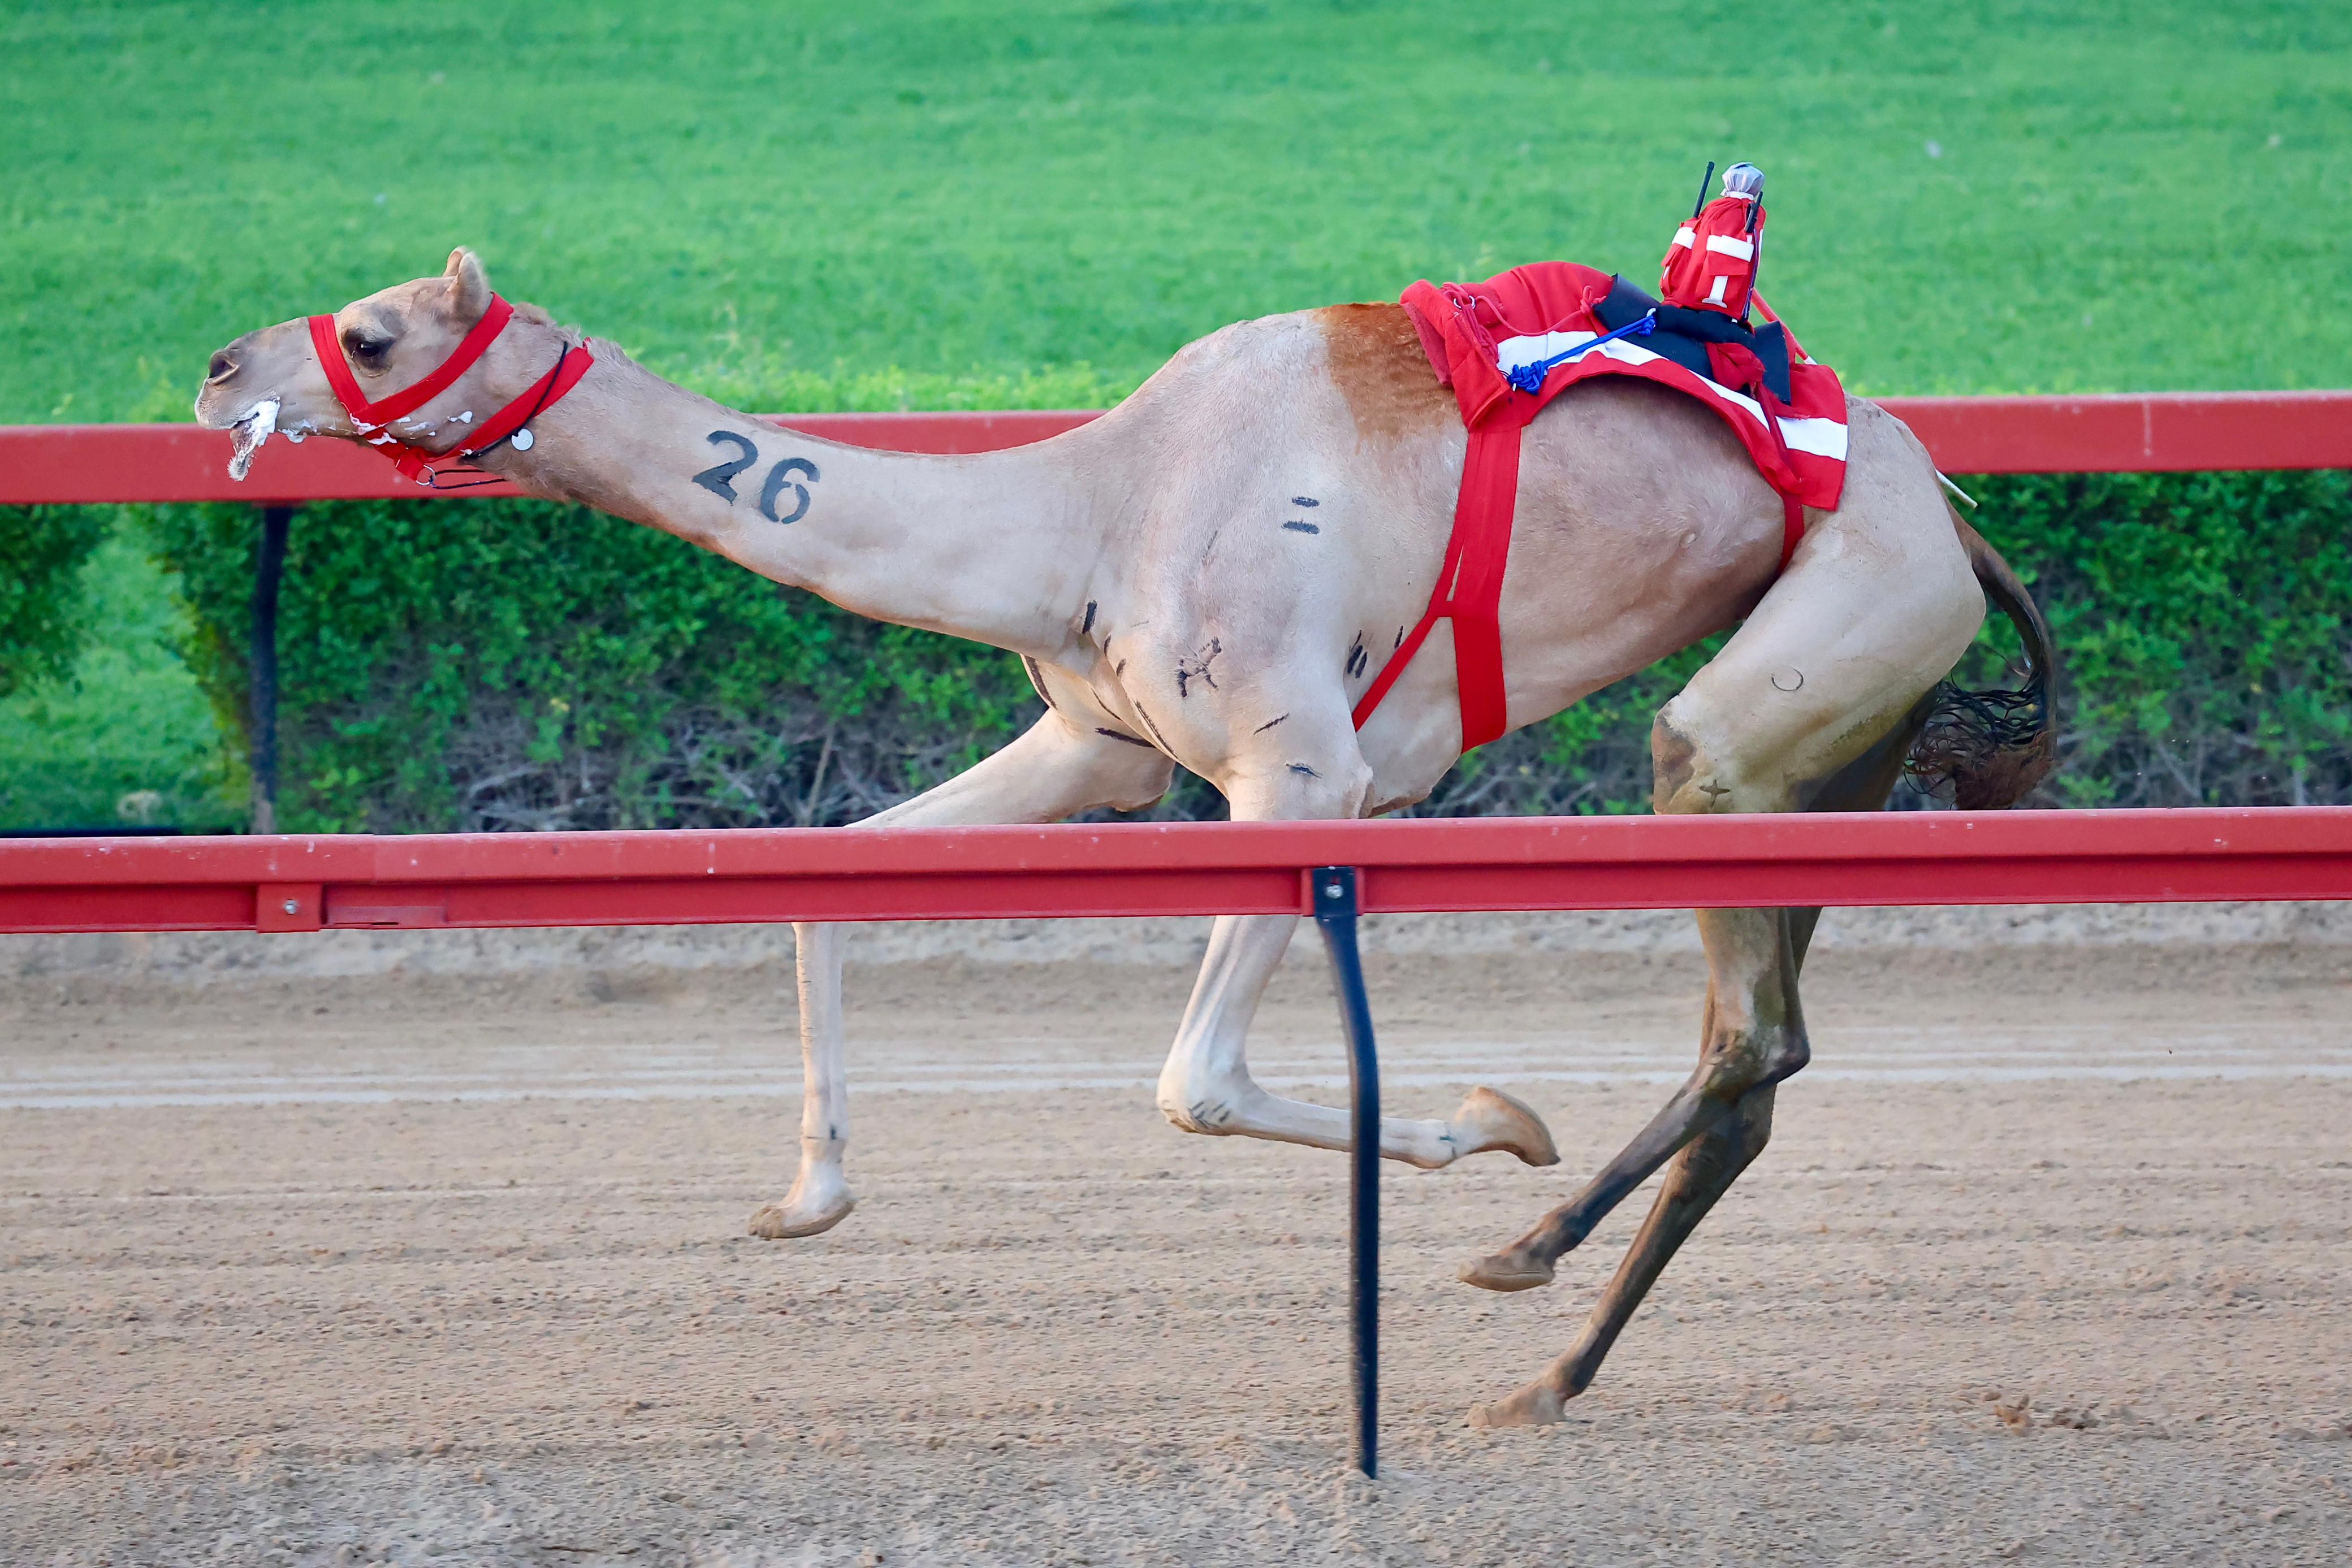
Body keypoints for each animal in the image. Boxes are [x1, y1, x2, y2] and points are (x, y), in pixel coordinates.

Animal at [193, 252, 2051, 1429]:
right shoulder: (1101, 748)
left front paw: (1489, 1123)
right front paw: (805, 1198)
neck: (1090, 511)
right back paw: (1537, 1315)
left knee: (1740, 995)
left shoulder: (1304, 777)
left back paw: (1528, 1314)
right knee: (1769, 1043)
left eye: (370, 333)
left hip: (1797, 672)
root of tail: (1959, 516)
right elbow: (834, 881)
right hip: (1845, 743)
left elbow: (1195, 1084)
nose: (218, 365)